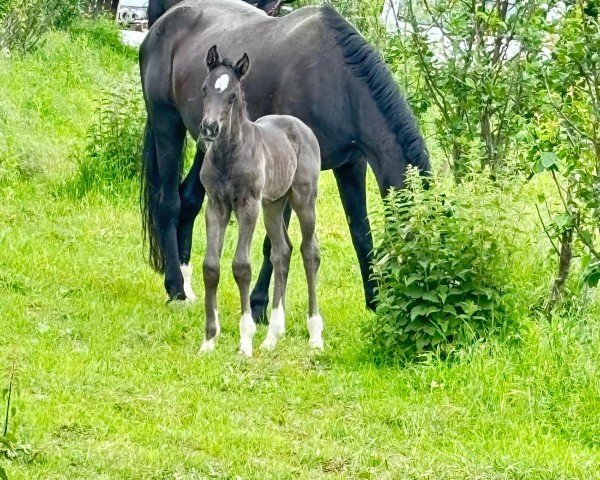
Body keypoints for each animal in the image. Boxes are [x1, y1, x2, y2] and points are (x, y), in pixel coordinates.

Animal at [198, 47, 322, 358]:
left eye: (232, 95)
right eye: (205, 89)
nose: (209, 128)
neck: (229, 155)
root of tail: (299, 125)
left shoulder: (248, 206)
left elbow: (241, 266)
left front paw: (245, 341)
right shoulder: (215, 206)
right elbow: (211, 267)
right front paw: (209, 340)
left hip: (303, 199)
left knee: (310, 251)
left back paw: (315, 335)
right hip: (274, 205)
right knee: (282, 251)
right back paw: (273, 336)